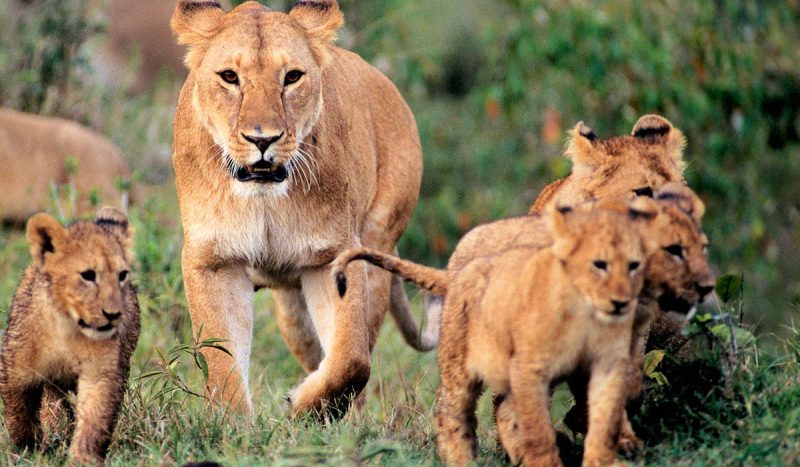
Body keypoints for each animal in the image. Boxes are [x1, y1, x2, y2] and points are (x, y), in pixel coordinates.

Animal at [0, 207, 140, 464]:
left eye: (122, 275)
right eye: (88, 275)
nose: (113, 314)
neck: (68, 328)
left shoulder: (100, 374)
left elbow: (94, 419)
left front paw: (82, 459)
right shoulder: (16, 371)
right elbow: (18, 413)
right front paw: (29, 447)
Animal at [170, 0, 430, 416]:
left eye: (292, 77)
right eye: (229, 77)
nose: (263, 139)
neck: (264, 200)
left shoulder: (334, 255)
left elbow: (351, 360)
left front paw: (299, 408)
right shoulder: (214, 261)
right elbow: (222, 363)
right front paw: (234, 426)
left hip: (377, 247)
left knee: (359, 356)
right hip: (292, 312)